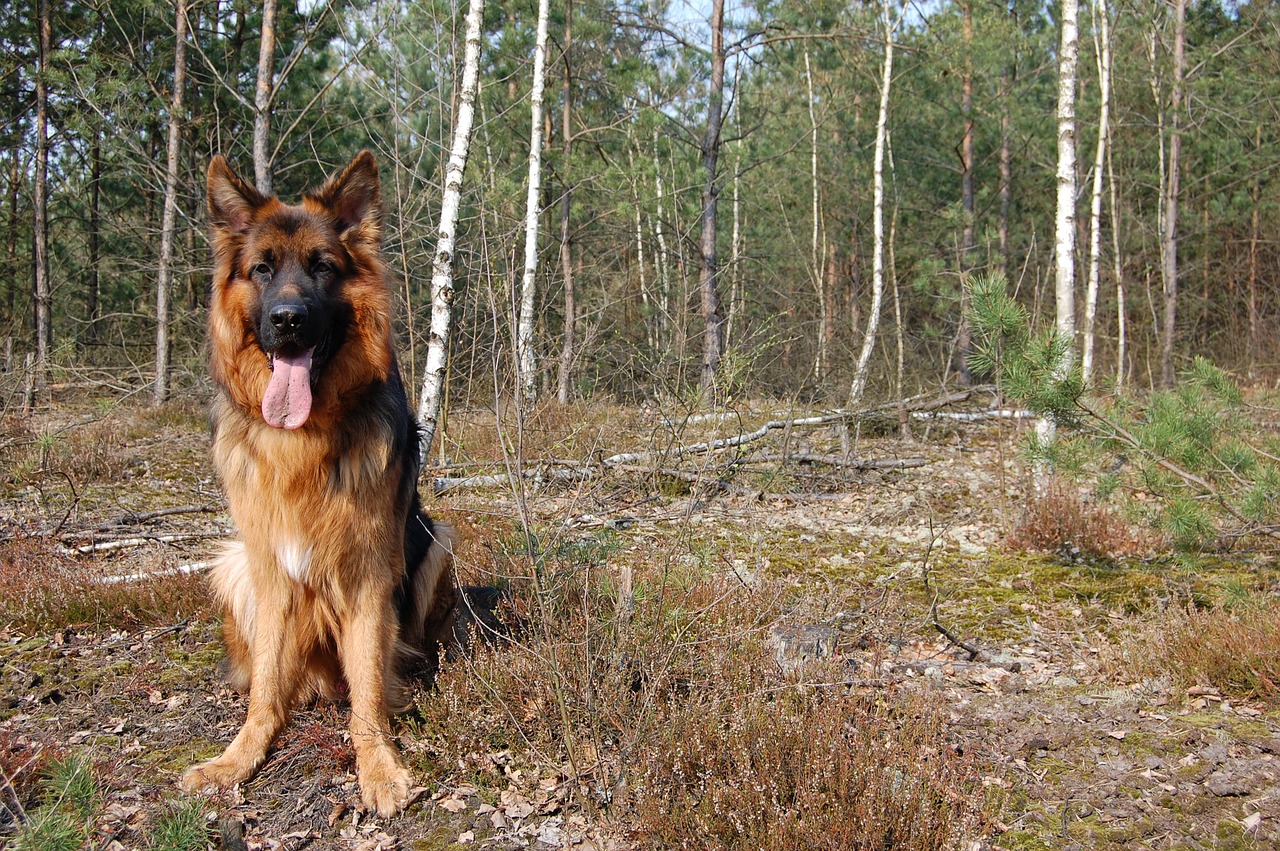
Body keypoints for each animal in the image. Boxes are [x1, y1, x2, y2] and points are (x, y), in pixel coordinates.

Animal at [183, 154, 455, 819]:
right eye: (262, 269)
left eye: (322, 268)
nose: (288, 321)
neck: (302, 439)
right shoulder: (272, 571)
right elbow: (264, 690)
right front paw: (239, 758)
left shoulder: (368, 579)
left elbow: (367, 695)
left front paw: (378, 766)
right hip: (234, 567)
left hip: (437, 540)